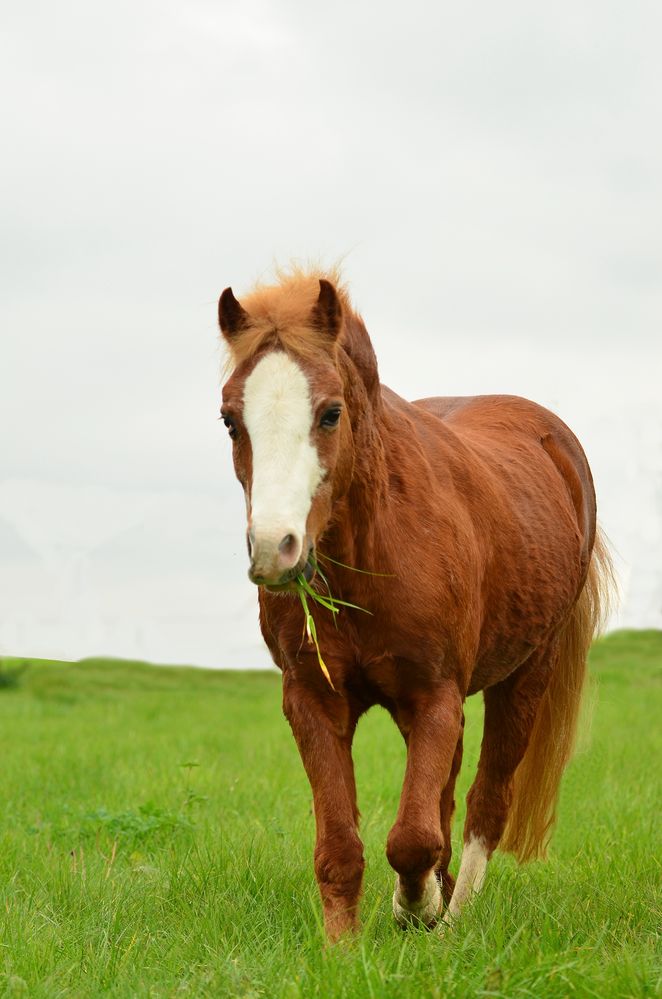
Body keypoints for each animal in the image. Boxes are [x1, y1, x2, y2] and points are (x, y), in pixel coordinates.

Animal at [220, 270, 616, 940]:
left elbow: (411, 837)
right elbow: (341, 845)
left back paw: (452, 914)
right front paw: (343, 946)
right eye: (229, 420)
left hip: (524, 678)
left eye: (331, 413)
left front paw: (418, 905)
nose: (276, 547)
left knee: (485, 803)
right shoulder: (314, 700)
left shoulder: (434, 695)